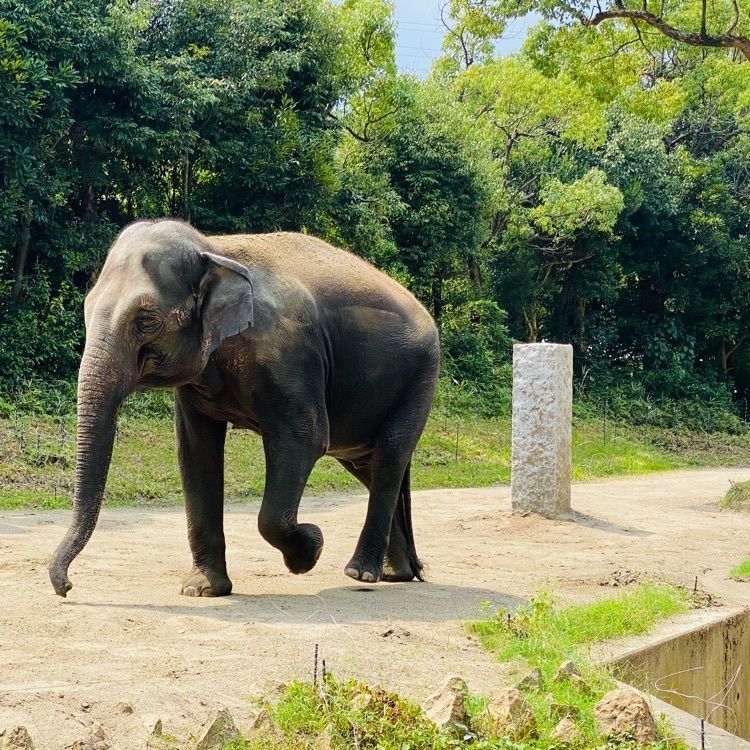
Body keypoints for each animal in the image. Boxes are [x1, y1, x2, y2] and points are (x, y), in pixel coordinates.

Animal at [48, 219, 440, 600]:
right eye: (86, 309)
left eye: (145, 319)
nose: (66, 588)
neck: (213, 248)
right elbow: (196, 453)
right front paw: (202, 590)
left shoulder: (289, 355)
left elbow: (307, 440)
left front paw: (311, 548)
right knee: (368, 466)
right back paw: (397, 573)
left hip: (421, 377)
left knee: (389, 456)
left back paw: (361, 572)